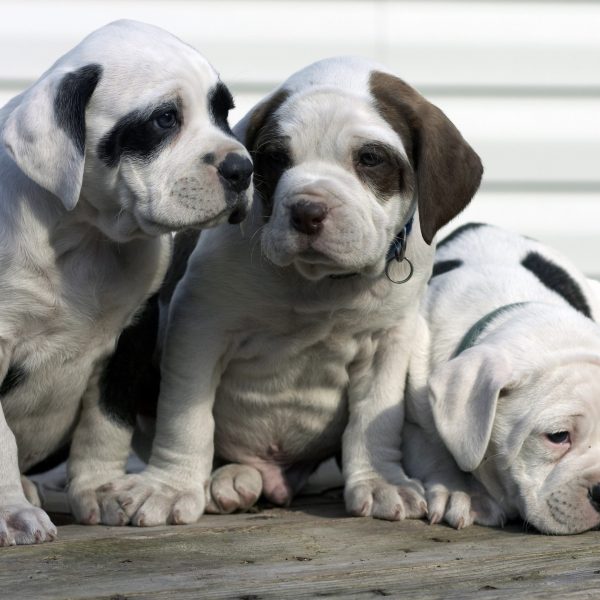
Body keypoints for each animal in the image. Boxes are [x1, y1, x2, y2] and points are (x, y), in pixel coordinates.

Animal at [0, 18, 252, 544]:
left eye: (224, 112)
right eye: (164, 120)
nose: (244, 169)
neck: (87, 238)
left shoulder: (132, 333)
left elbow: (106, 422)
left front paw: (102, 489)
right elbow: (0, 441)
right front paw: (10, 511)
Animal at [96, 56, 482, 524]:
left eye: (370, 158)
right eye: (276, 159)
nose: (307, 210)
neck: (319, 284)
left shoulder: (389, 340)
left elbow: (375, 417)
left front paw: (380, 481)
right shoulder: (199, 326)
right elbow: (186, 418)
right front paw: (170, 487)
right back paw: (230, 479)